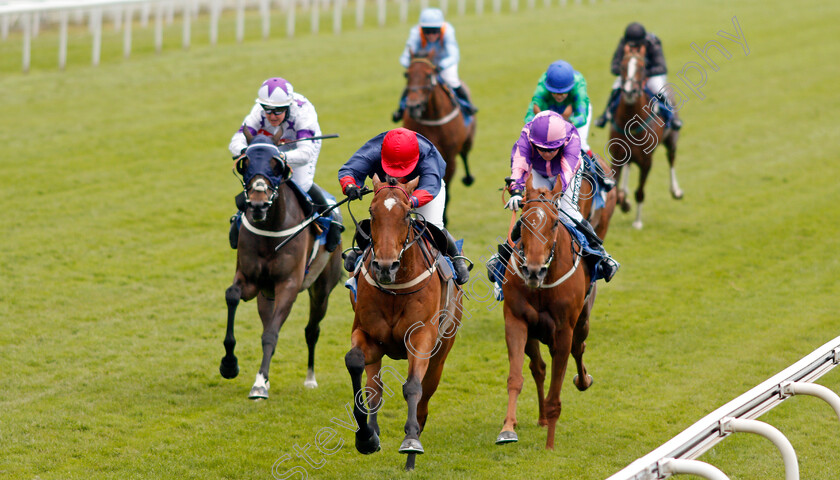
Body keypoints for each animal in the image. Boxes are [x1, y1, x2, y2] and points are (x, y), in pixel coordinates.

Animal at [221, 130, 346, 398]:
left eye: (276, 165)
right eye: (246, 163)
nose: (257, 204)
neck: (271, 229)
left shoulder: (288, 284)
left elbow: (271, 334)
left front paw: (259, 384)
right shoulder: (251, 281)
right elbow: (232, 296)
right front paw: (229, 364)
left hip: (321, 289)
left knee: (312, 330)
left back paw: (310, 378)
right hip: (266, 294)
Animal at [342, 174, 466, 470]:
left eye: (406, 214)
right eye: (372, 212)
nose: (386, 266)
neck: (394, 289)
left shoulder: (421, 338)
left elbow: (412, 387)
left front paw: (410, 441)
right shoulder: (368, 336)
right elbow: (355, 363)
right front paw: (365, 437)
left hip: (441, 353)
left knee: (423, 400)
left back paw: (412, 454)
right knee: (374, 387)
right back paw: (373, 431)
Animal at [402, 51, 476, 226]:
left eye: (429, 75)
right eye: (407, 74)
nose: (414, 106)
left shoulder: (448, 158)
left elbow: (445, 189)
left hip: (468, 141)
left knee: (465, 154)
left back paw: (468, 178)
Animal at [496, 174, 592, 448]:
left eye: (554, 223)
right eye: (522, 222)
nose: (533, 271)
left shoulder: (564, 330)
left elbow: (555, 394)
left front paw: (550, 445)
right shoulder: (515, 320)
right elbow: (516, 378)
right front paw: (508, 428)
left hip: (582, 323)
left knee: (578, 348)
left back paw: (583, 380)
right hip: (534, 333)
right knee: (538, 368)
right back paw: (540, 419)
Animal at [612, 45, 684, 231]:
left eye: (642, 67)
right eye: (622, 66)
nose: (629, 91)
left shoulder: (646, 161)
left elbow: (640, 192)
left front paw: (637, 222)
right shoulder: (616, 156)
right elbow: (614, 188)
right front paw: (624, 202)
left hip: (672, 139)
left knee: (671, 159)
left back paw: (676, 190)